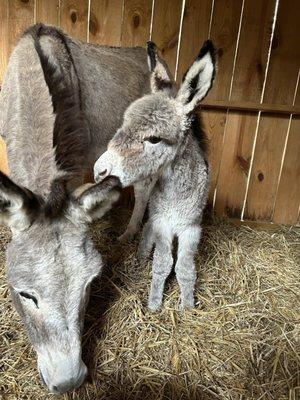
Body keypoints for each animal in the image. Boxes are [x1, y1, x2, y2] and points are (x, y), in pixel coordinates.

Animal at [95, 39, 217, 310]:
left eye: (153, 139)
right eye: (123, 126)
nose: (99, 171)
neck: (177, 193)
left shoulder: (191, 229)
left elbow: (185, 268)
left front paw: (187, 305)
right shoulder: (163, 224)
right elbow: (163, 263)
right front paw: (154, 303)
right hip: (147, 195)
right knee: (144, 216)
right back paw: (138, 249)